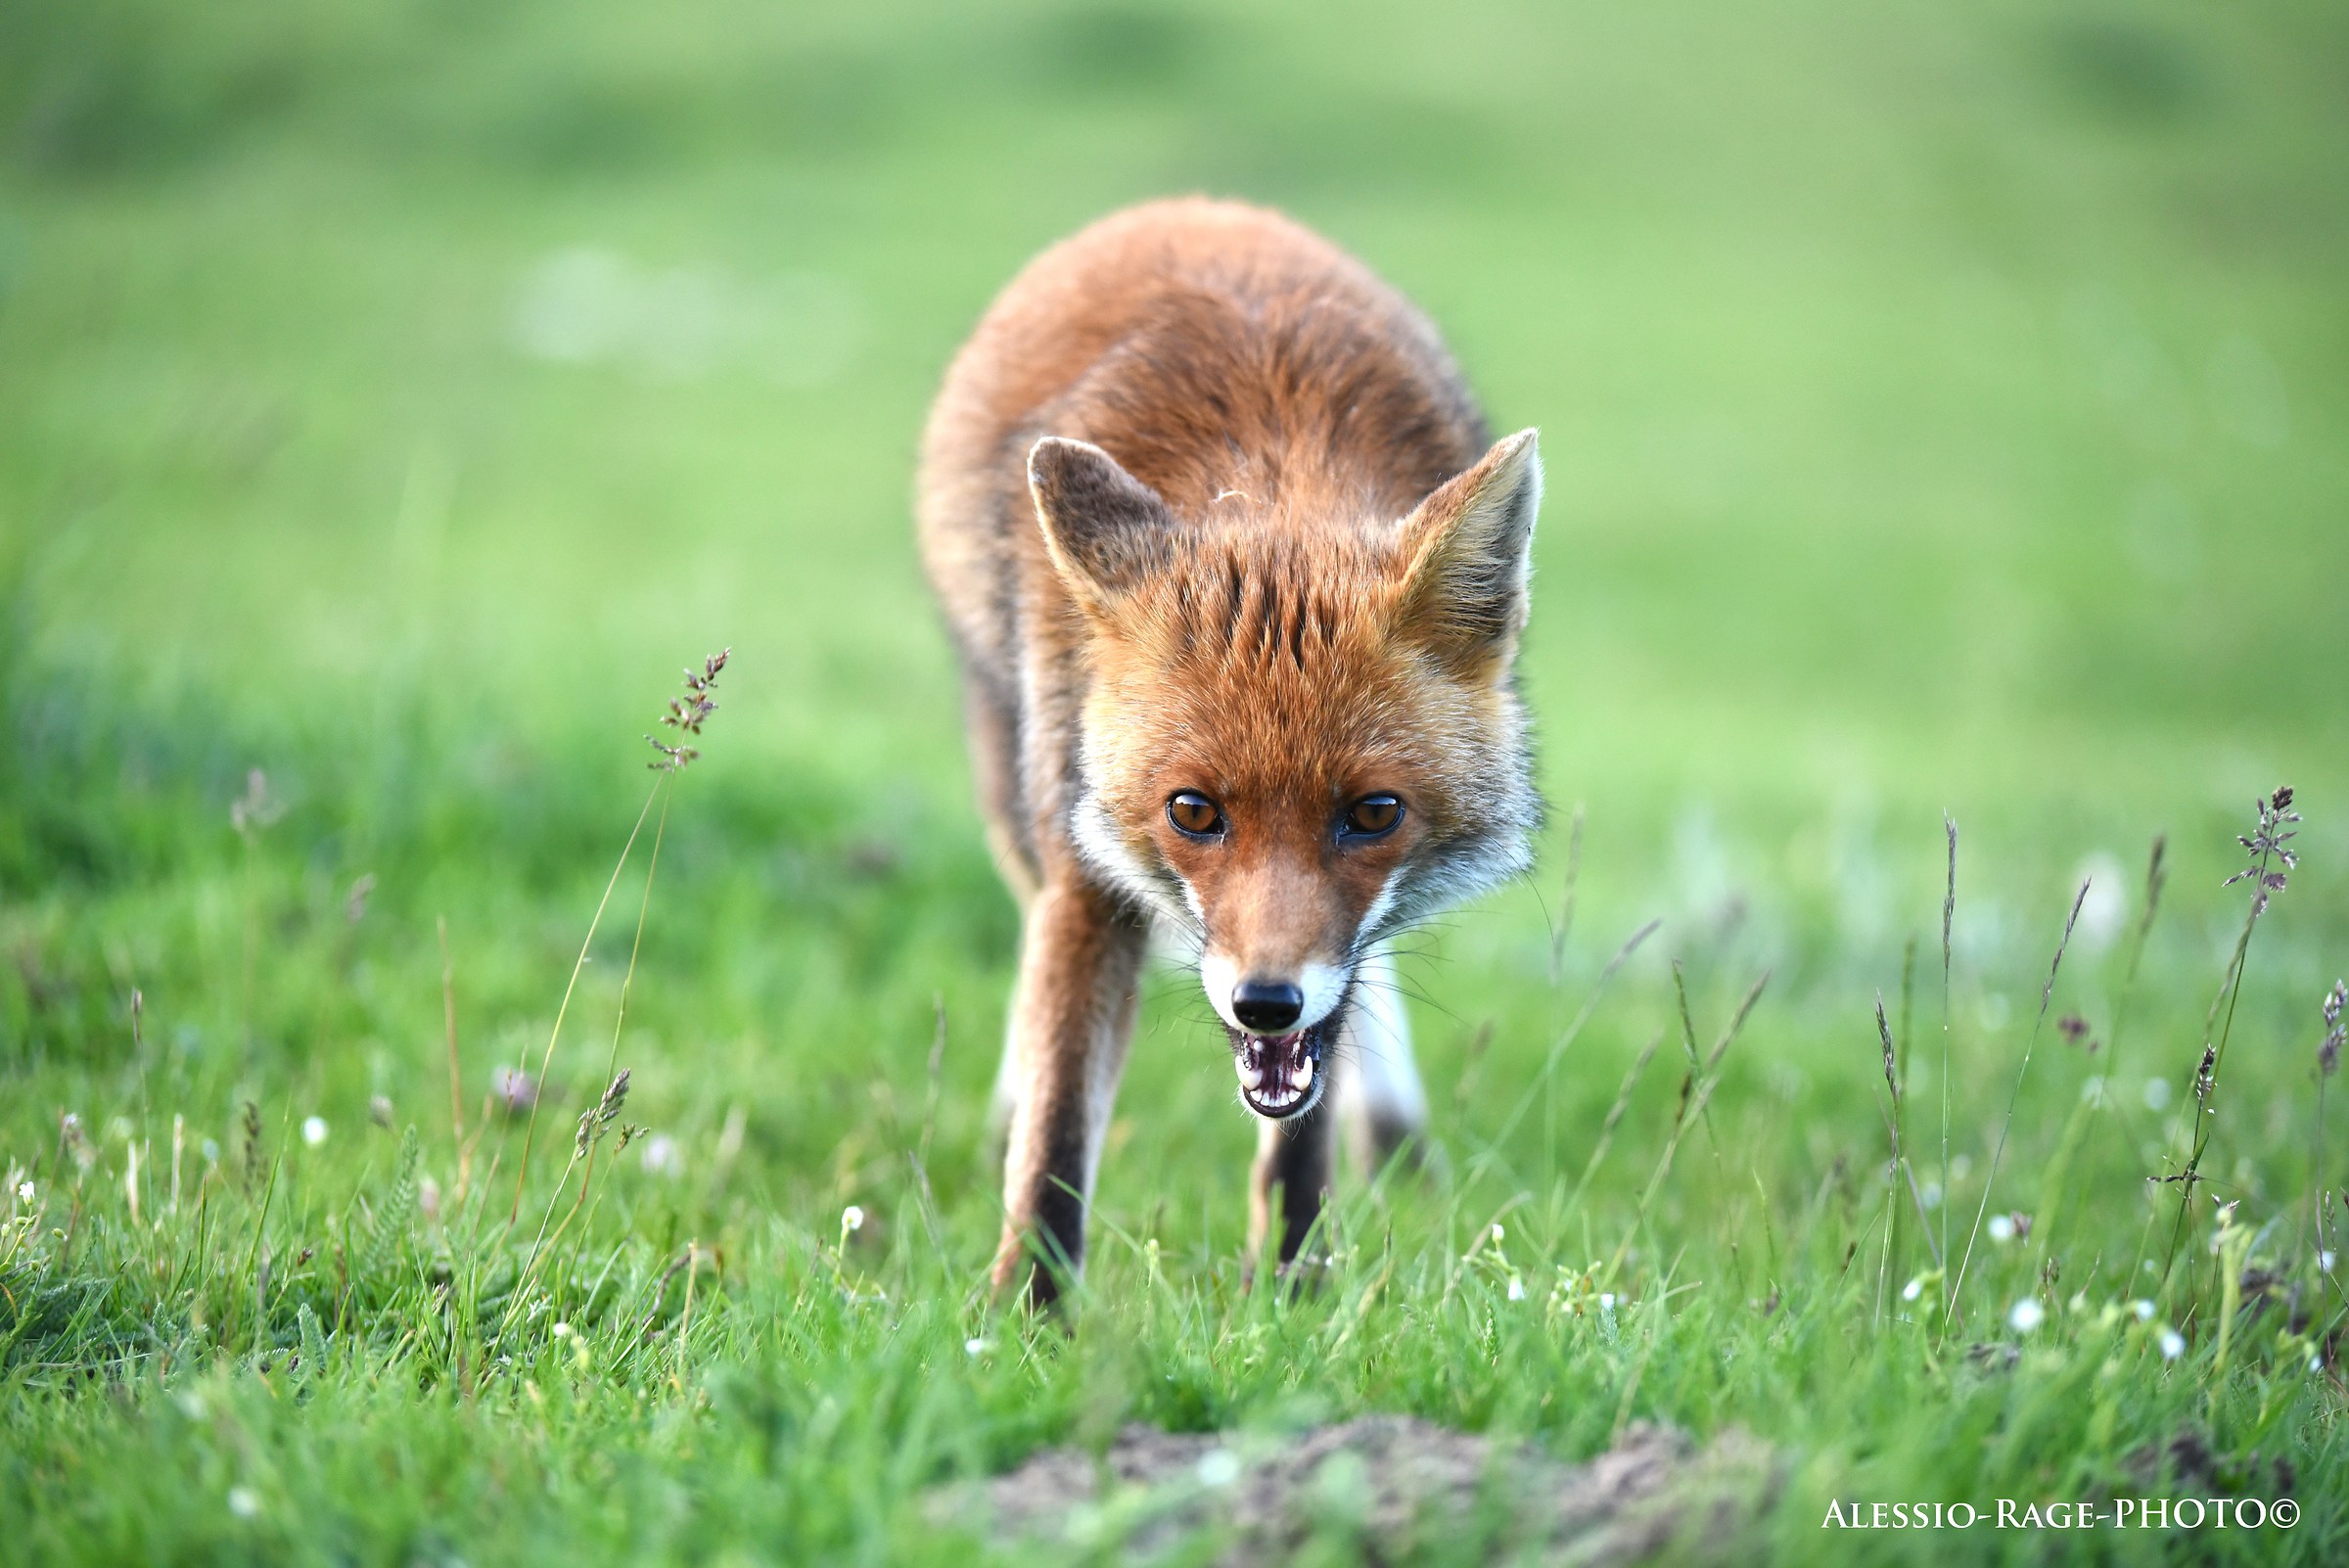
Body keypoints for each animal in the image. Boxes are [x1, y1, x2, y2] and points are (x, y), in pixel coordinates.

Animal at [917, 198, 1543, 1307]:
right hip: (1011, 776)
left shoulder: (1321, 984)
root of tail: (1191, 207)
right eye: (1193, 811)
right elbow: (1058, 1131)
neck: (1275, 463)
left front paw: (1290, 1289)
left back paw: (1394, 1142)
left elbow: (1301, 1132)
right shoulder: (1086, 872)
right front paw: (1023, 1314)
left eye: (1373, 814)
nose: (1263, 1000)